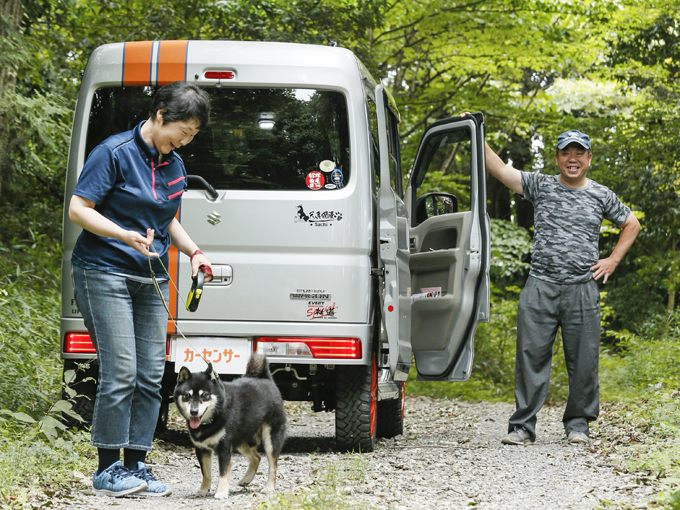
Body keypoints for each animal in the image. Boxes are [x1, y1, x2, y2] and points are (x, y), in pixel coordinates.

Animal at [174, 354, 286, 498]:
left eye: (205, 395)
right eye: (187, 395)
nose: (194, 411)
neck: (213, 418)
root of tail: (266, 379)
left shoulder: (224, 447)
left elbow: (223, 472)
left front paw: (221, 492)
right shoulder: (202, 448)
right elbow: (206, 473)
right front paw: (203, 489)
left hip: (270, 439)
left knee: (273, 465)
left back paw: (269, 487)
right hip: (241, 441)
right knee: (256, 457)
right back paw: (246, 480)